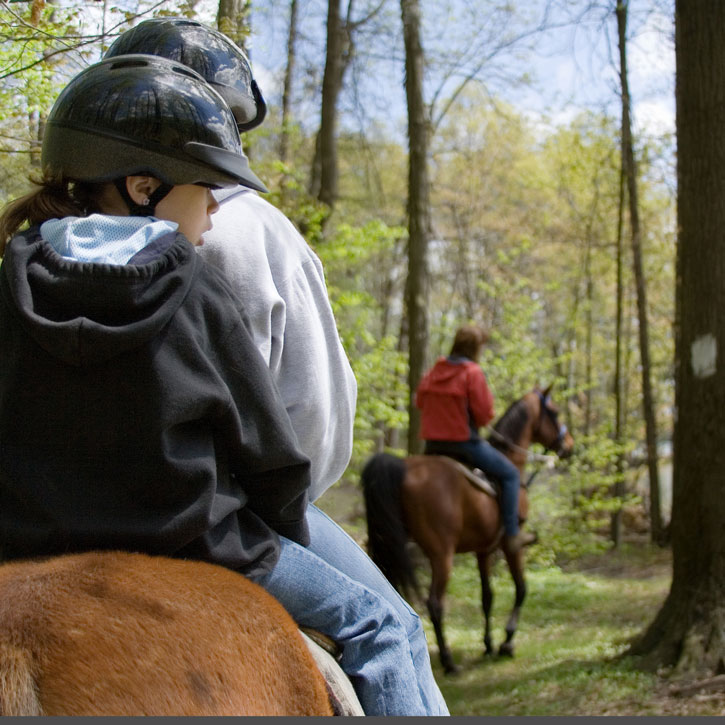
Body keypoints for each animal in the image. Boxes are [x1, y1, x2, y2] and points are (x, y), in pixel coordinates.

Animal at [360, 384, 572, 672]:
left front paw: (488, 644)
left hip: (388, 547)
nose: (569, 445)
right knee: (435, 603)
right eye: (556, 412)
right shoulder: (511, 546)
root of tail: (402, 467)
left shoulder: (483, 550)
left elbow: (487, 597)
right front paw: (507, 641)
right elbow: (521, 588)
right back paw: (448, 661)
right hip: (441, 554)